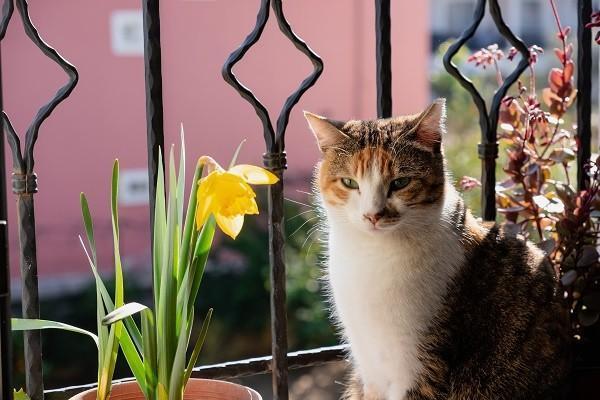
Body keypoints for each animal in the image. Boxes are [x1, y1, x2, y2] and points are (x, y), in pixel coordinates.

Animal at [304, 99, 572, 400]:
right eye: (350, 183)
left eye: (400, 182)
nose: (373, 215)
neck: (372, 255)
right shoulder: (368, 366)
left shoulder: (423, 366)